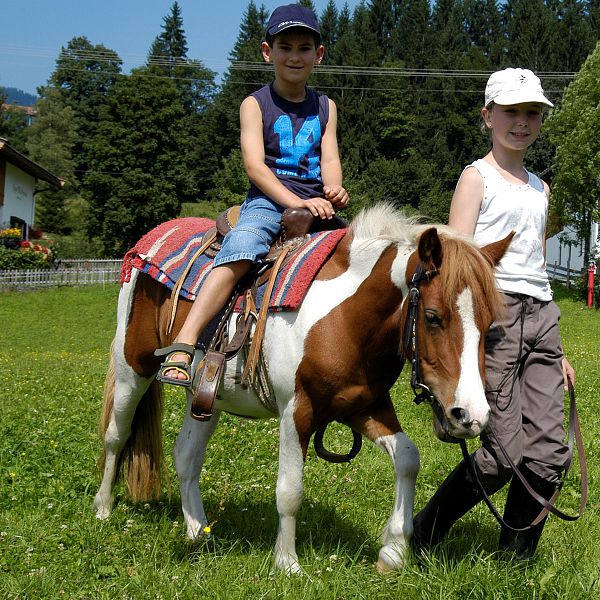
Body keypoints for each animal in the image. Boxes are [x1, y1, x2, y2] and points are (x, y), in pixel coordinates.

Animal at [94, 205, 510, 572]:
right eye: (433, 317)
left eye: (490, 321)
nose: (471, 416)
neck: (345, 315)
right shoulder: (298, 411)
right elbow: (290, 490)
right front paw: (287, 563)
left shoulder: (364, 405)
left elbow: (408, 458)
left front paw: (393, 551)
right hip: (133, 368)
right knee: (117, 434)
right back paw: (102, 507)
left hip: (205, 397)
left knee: (186, 456)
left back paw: (199, 532)